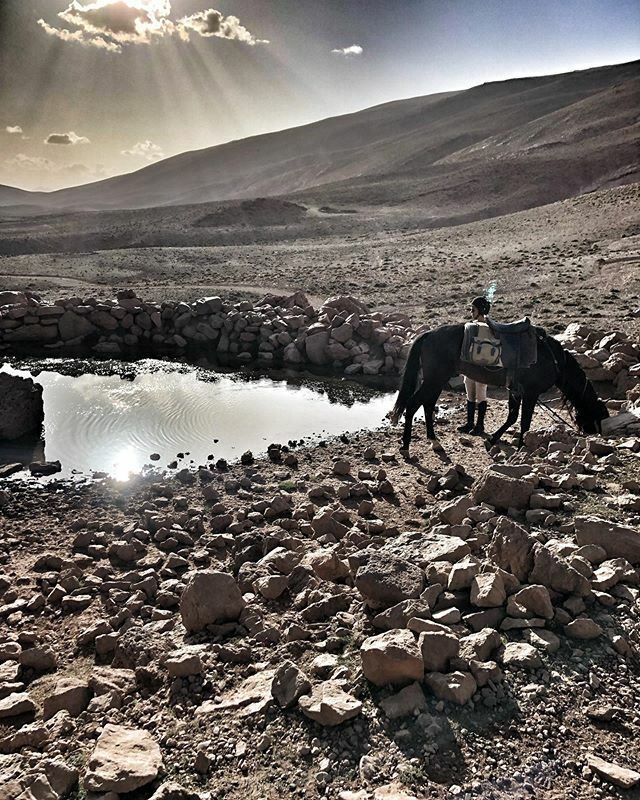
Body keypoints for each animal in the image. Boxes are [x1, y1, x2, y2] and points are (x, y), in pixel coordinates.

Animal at [389, 324, 609, 450]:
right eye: (598, 416)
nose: (593, 434)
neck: (553, 359)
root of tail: (427, 334)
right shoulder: (530, 393)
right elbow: (524, 422)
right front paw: (521, 447)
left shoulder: (515, 391)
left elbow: (512, 417)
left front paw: (492, 439)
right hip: (434, 379)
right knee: (412, 404)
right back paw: (405, 445)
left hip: (437, 380)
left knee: (427, 405)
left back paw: (433, 439)